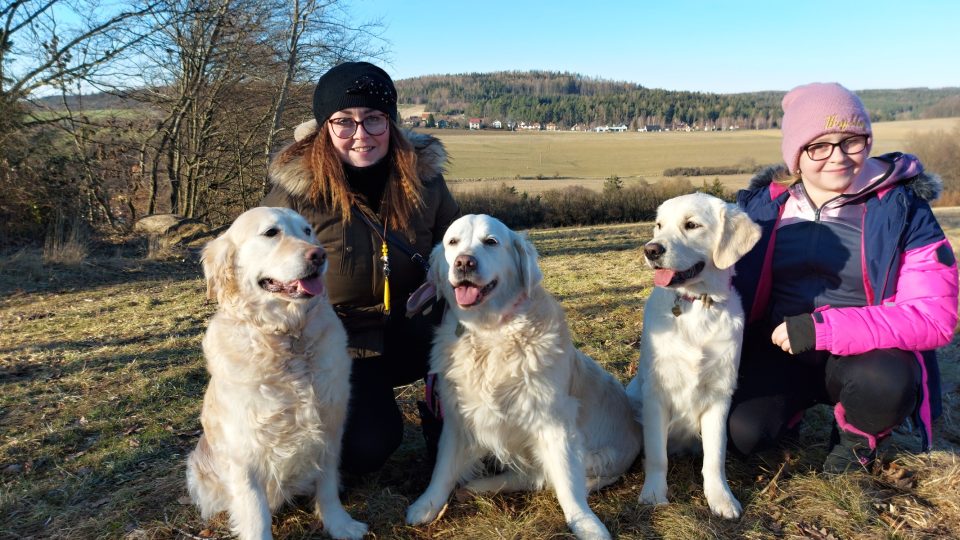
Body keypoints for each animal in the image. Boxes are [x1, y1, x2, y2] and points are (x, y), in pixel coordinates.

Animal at [187, 208, 368, 540]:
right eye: (271, 233)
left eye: (308, 231)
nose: (319, 255)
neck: (287, 338)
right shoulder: (244, 451)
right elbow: (254, 512)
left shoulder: (329, 427)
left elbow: (327, 486)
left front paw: (340, 524)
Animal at [406, 213, 644, 540]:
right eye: (452, 242)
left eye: (491, 241)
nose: (464, 262)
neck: (490, 333)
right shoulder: (459, 416)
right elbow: (443, 467)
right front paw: (426, 505)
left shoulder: (555, 422)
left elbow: (567, 485)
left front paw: (586, 524)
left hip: (597, 459)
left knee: (543, 477)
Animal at [628, 193, 760, 520]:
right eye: (659, 225)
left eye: (691, 225)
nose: (651, 250)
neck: (695, 305)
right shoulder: (656, 394)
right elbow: (657, 455)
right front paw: (653, 494)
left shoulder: (719, 396)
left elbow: (714, 457)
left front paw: (721, 498)